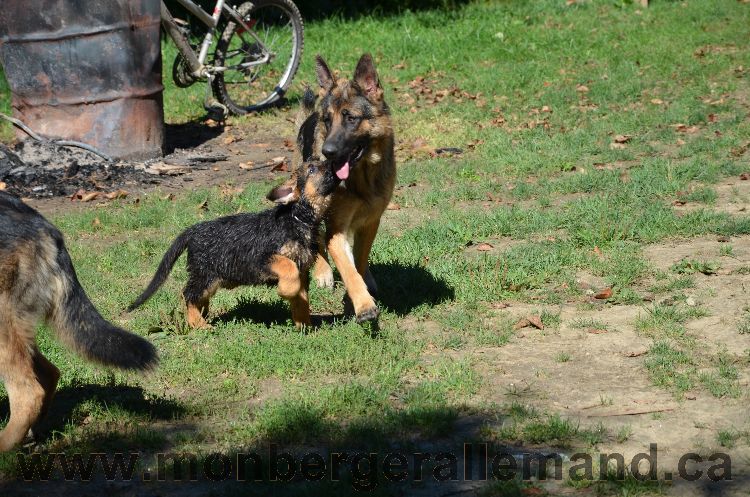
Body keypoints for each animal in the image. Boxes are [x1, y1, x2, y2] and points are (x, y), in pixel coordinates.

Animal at [129, 161, 340, 328]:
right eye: (312, 169)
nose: (333, 163)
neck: (297, 219)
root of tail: (193, 230)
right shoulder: (264, 258)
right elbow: (288, 269)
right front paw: (285, 291)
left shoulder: (302, 271)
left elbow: (301, 299)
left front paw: (304, 324)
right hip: (205, 275)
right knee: (187, 295)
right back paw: (198, 324)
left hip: (210, 279)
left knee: (196, 297)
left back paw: (202, 316)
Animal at [270, 54, 400, 324]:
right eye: (328, 120)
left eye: (351, 118)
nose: (327, 153)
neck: (361, 178)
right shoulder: (336, 229)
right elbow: (348, 269)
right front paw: (362, 305)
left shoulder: (371, 222)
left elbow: (359, 262)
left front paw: (358, 292)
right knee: (315, 238)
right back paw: (323, 272)